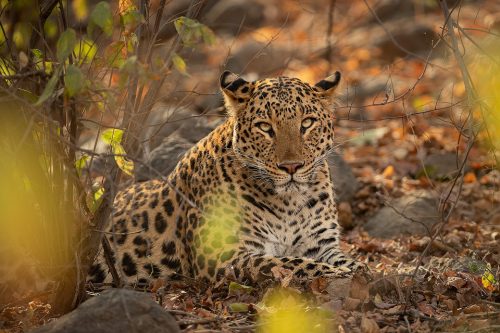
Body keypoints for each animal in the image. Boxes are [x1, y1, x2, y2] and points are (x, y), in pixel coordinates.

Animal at [89, 70, 364, 286]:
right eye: (265, 127)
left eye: (307, 123)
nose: (291, 167)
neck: (289, 202)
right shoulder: (223, 254)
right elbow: (289, 263)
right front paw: (340, 273)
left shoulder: (320, 244)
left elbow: (344, 259)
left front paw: (359, 268)